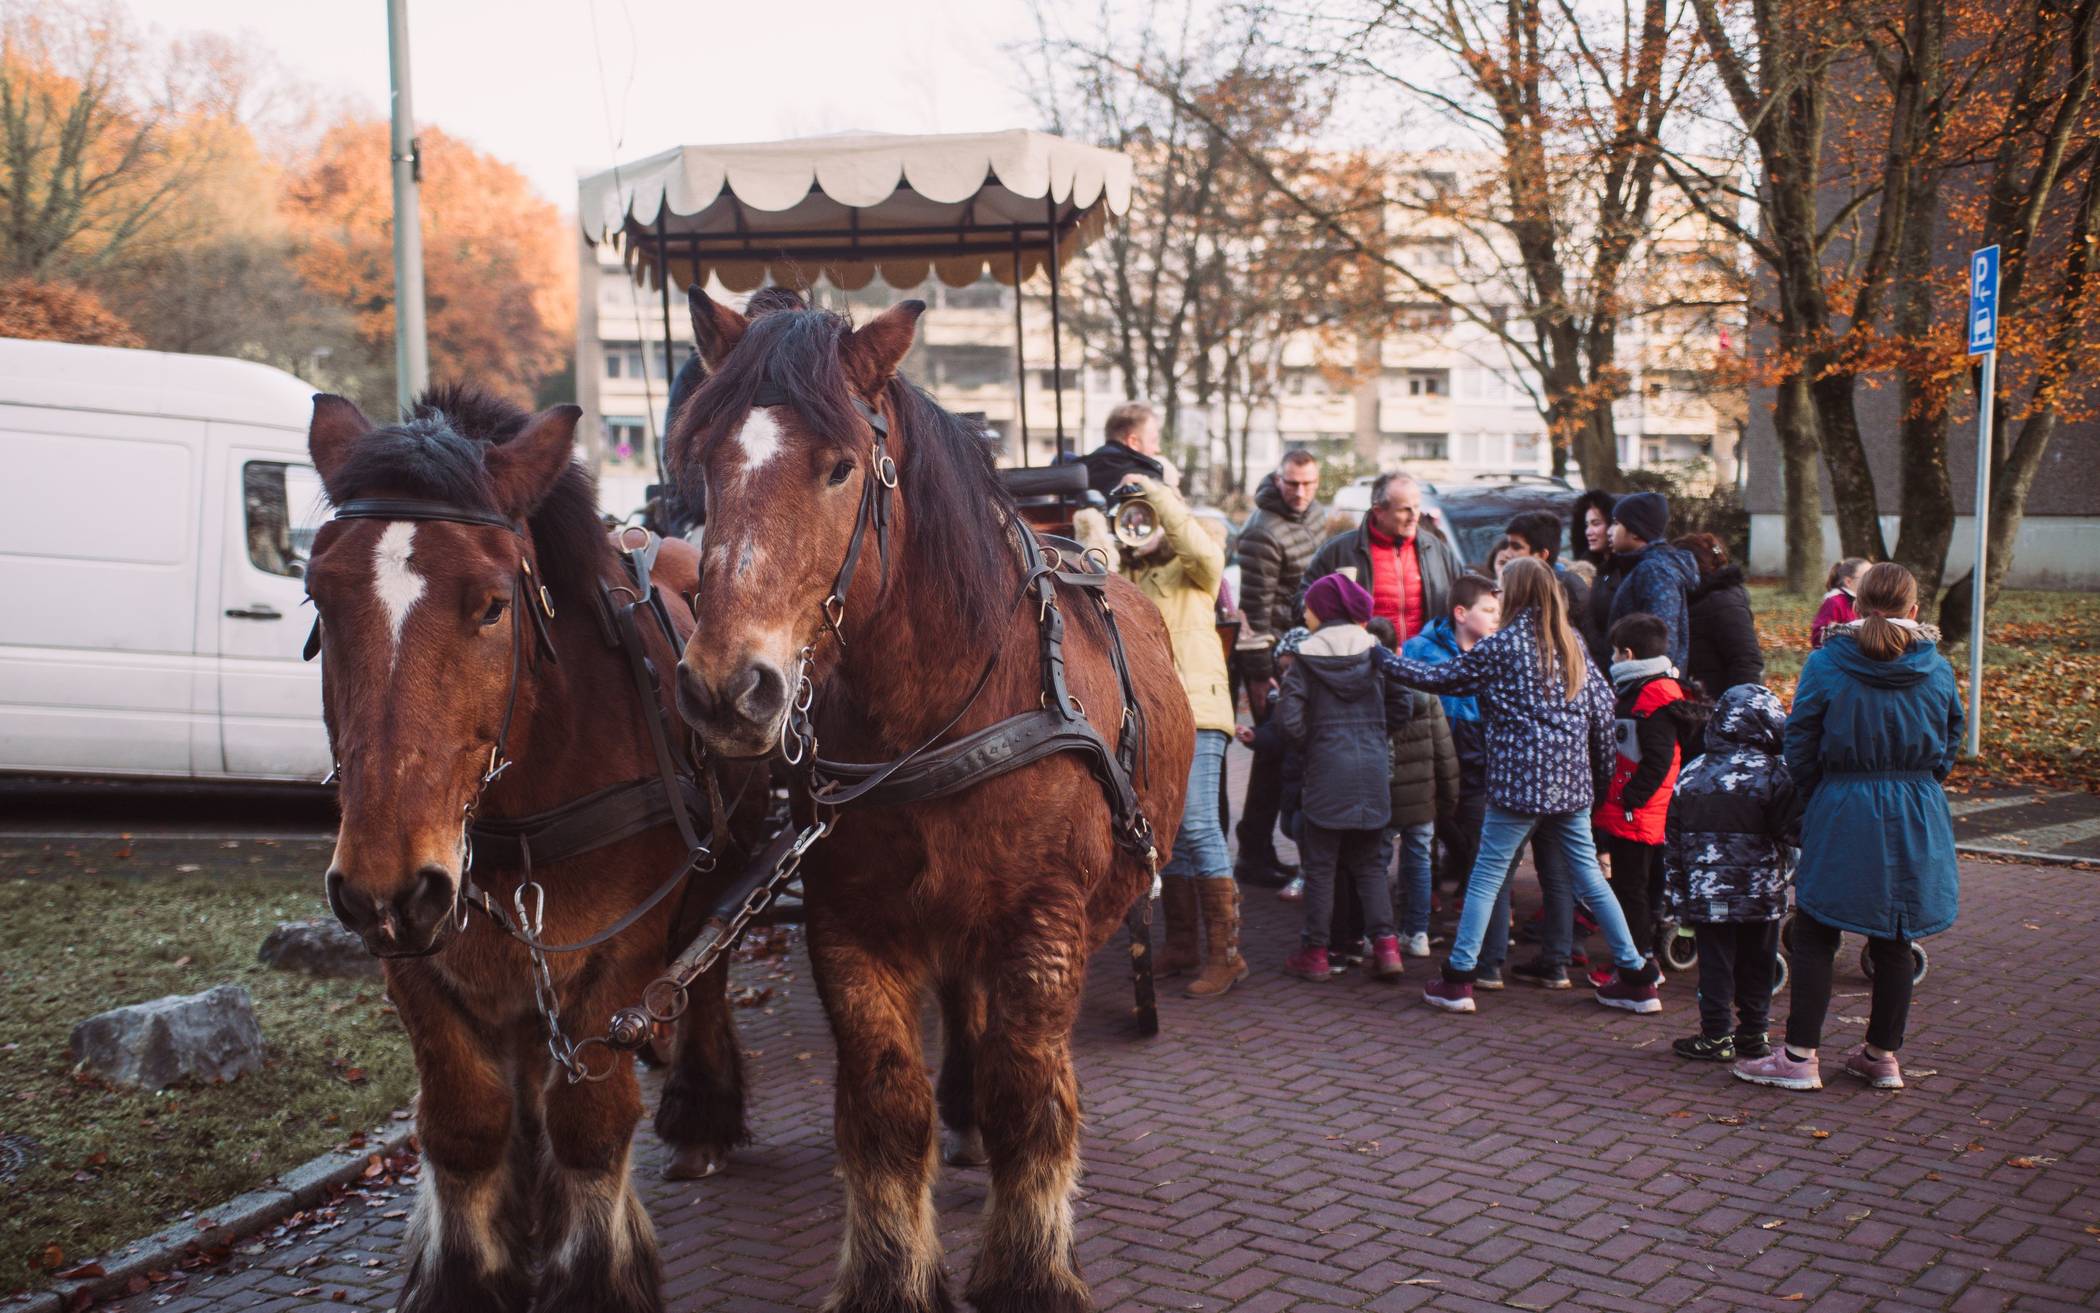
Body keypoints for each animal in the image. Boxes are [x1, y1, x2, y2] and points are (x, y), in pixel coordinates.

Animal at [306, 386, 768, 1310]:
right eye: (318, 600)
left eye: (491, 603)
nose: (387, 884)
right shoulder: (412, 956)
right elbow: (463, 1121)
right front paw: (468, 1272)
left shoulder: (620, 946)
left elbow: (588, 1121)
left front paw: (593, 1273)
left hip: (721, 871)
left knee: (705, 976)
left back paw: (700, 1113)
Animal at [672, 292, 1201, 1310]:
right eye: (701, 459)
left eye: (840, 465)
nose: (728, 687)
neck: (935, 717)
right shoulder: (848, 922)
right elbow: (885, 1103)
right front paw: (890, 1275)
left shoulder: (1043, 922)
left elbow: (1028, 1095)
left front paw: (1031, 1270)